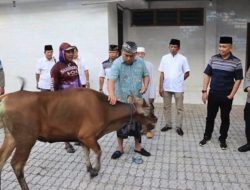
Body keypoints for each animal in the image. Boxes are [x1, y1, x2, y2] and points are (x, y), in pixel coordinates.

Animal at [0, 81, 157, 189]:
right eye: (148, 111)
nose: (155, 119)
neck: (106, 113)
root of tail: (6, 97)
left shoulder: (82, 138)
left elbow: (86, 153)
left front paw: (89, 169)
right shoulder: (87, 135)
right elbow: (98, 152)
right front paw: (95, 171)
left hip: (11, 137)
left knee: (2, 160)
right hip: (26, 139)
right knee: (17, 165)